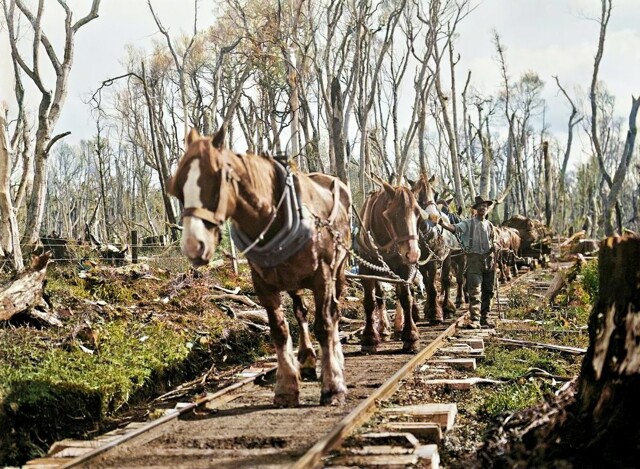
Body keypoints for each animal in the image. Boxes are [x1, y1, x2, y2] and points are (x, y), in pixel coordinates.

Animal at [168, 128, 352, 406]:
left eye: (217, 180)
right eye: (178, 187)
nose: (192, 244)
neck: (274, 217)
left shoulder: (323, 276)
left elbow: (325, 324)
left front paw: (333, 387)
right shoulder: (263, 284)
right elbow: (279, 331)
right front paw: (286, 387)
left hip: (338, 271)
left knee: (334, 312)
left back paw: (336, 360)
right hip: (292, 280)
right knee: (301, 311)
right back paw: (308, 359)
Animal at [356, 179, 424, 352]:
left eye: (418, 213)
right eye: (390, 215)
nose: (413, 254)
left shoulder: (405, 269)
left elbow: (406, 298)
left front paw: (410, 336)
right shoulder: (365, 269)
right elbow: (369, 301)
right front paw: (369, 338)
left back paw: (401, 326)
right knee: (380, 296)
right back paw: (383, 329)